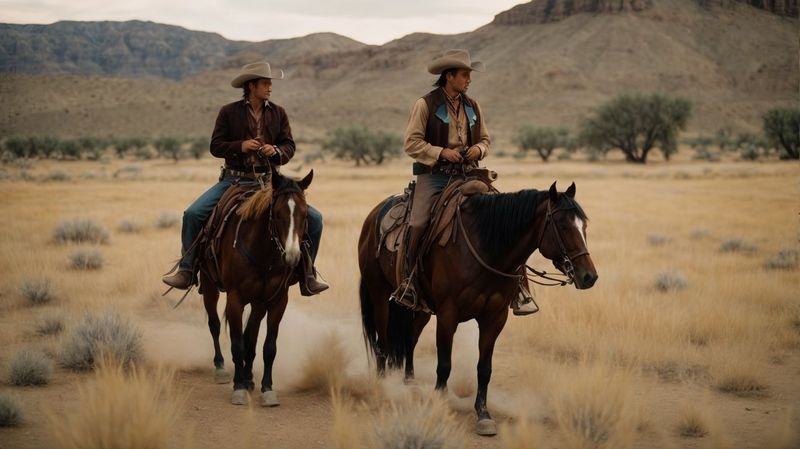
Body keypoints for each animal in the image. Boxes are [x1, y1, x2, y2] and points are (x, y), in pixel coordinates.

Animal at [200, 169, 312, 406]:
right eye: (277, 214)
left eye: (306, 214)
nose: (292, 257)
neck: (264, 254)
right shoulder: (235, 299)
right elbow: (237, 344)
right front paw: (239, 388)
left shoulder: (277, 301)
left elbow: (266, 346)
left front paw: (267, 388)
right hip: (208, 285)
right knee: (214, 324)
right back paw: (221, 368)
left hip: (259, 303)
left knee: (250, 335)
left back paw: (249, 377)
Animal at [360, 181, 596, 434]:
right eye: (562, 225)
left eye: (584, 225)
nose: (589, 276)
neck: (486, 249)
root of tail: (373, 215)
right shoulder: (447, 315)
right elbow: (444, 364)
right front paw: (440, 402)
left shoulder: (495, 317)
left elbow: (485, 368)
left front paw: (483, 414)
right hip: (379, 293)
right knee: (382, 342)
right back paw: (383, 383)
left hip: (421, 308)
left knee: (409, 339)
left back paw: (410, 382)